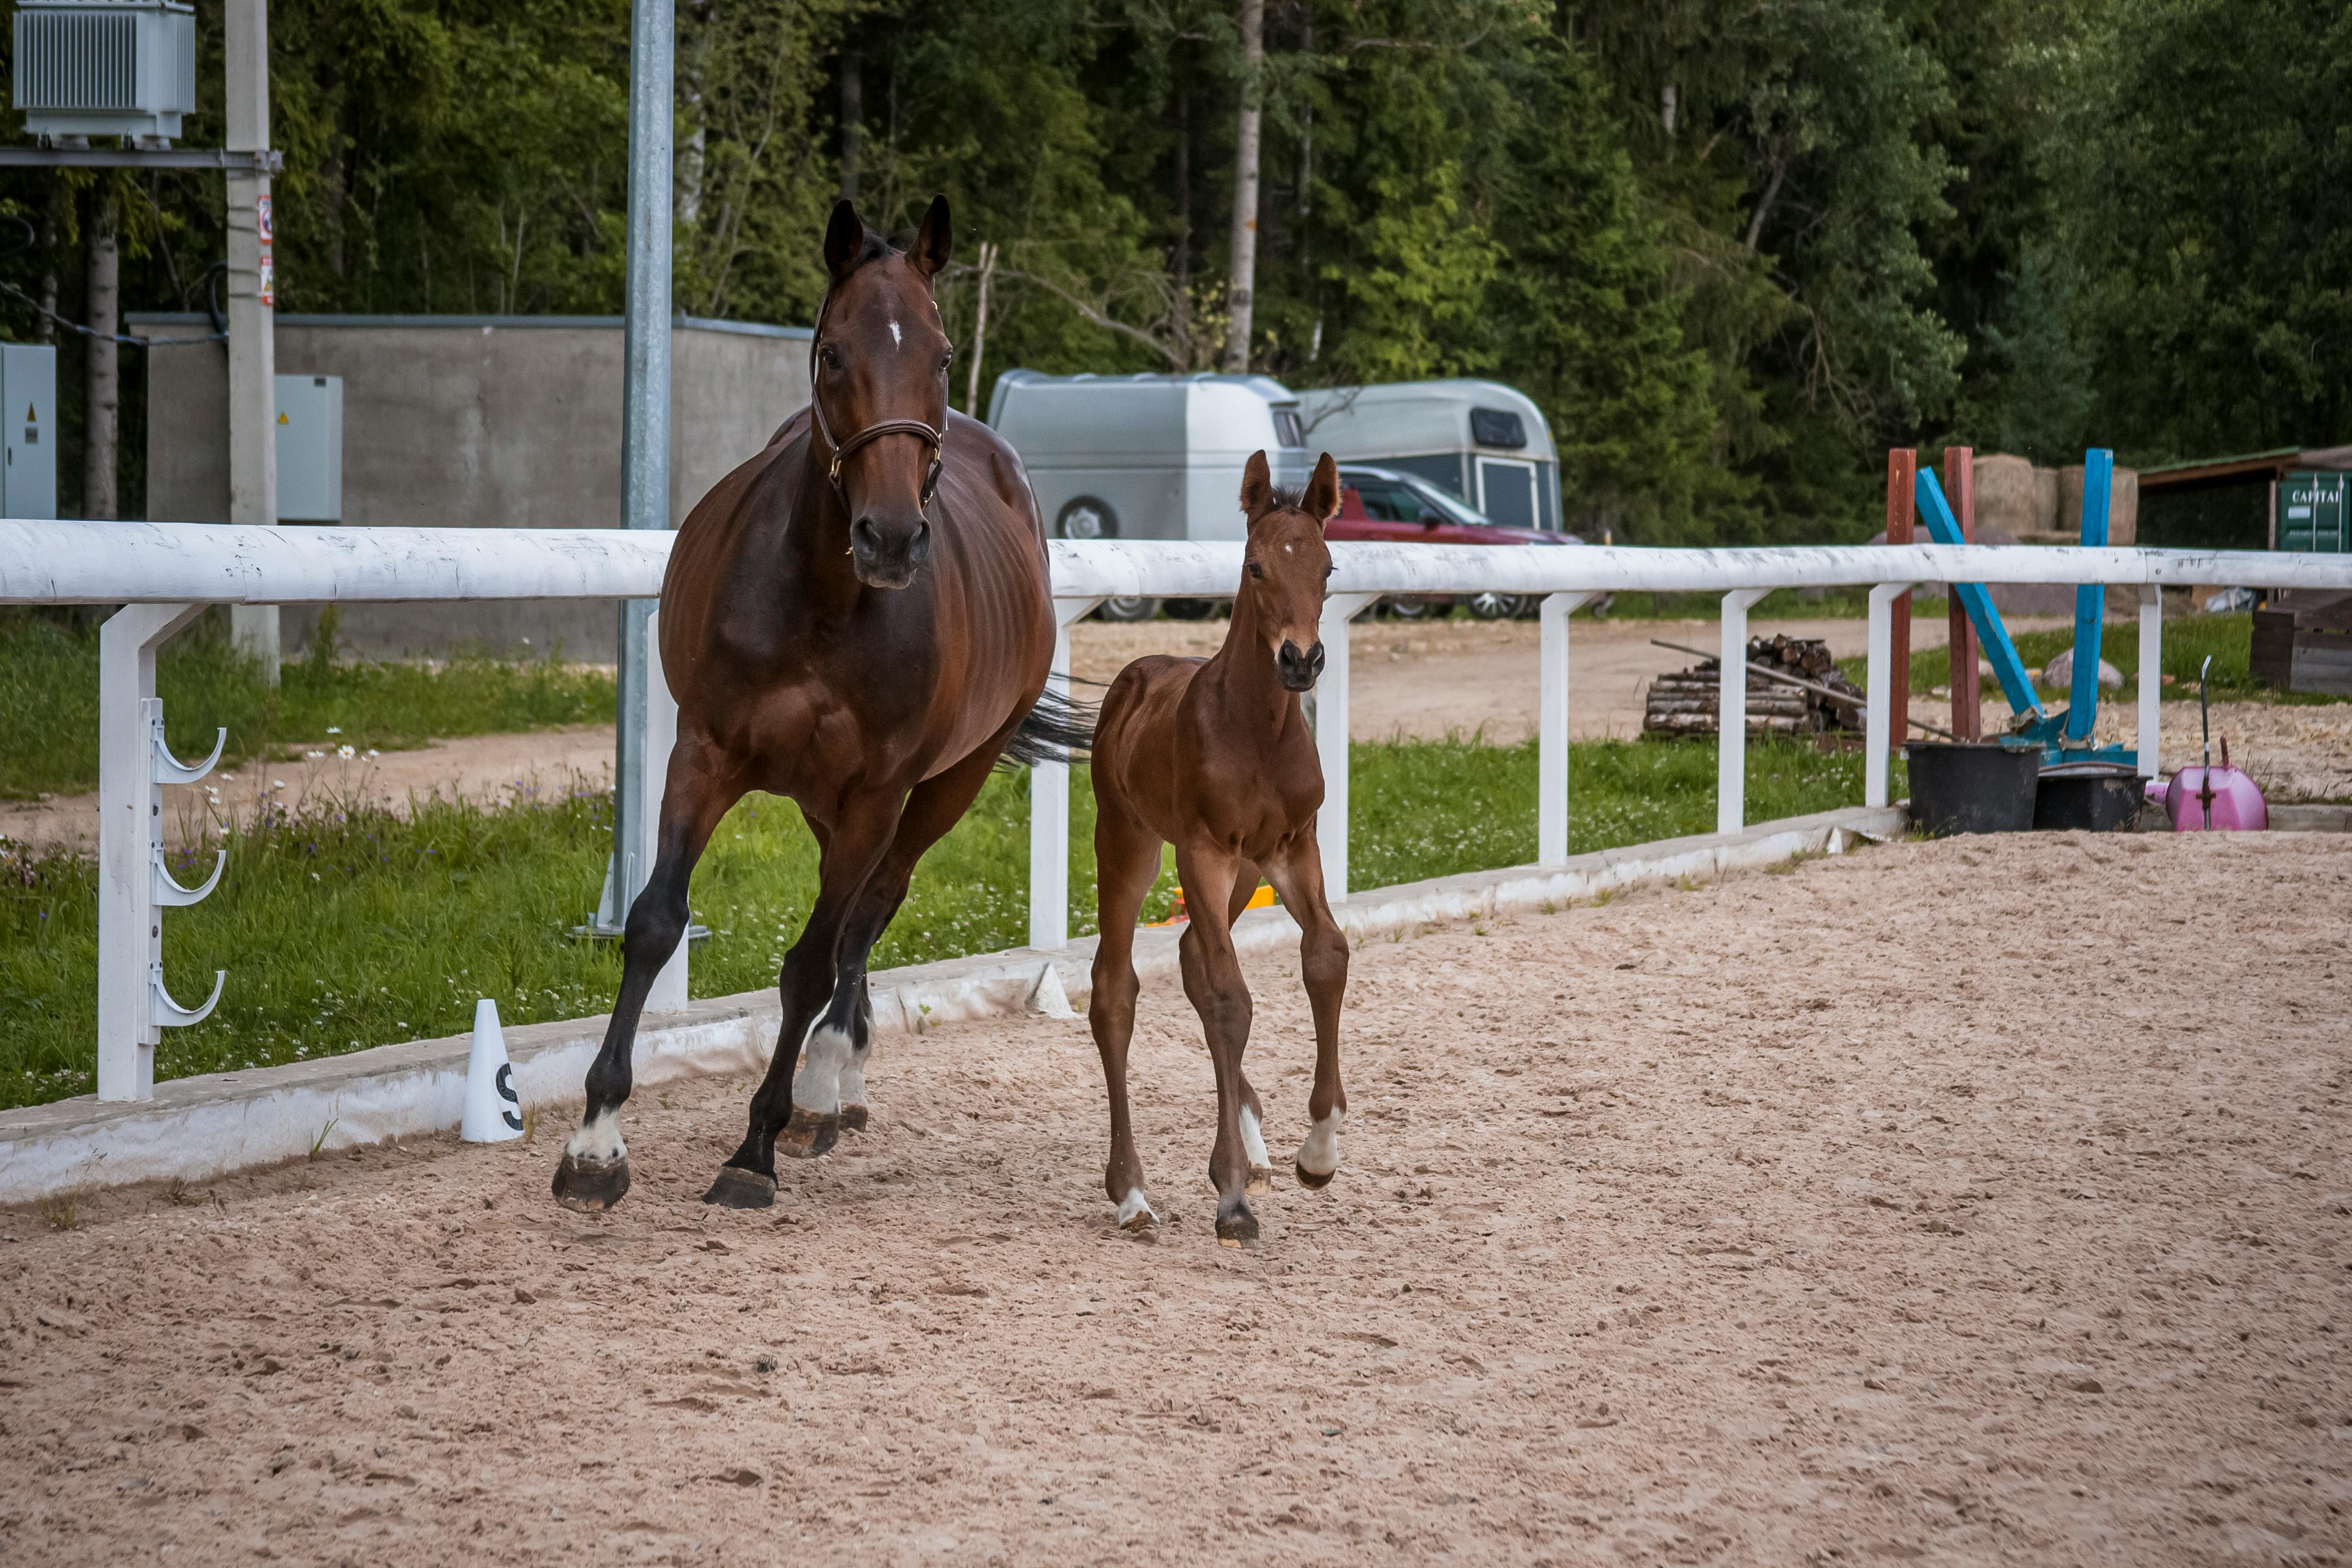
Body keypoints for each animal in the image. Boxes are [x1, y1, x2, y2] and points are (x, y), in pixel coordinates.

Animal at [550, 199, 1077, 1213]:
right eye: (833, 351)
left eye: (942, 356)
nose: (892, 538)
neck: (822, 603)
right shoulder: (705, 753)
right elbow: (654, 922)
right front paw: (595, 1143)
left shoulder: (878, 790)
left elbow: (810, 958)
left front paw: (755, 1143)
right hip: (820, 798)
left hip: (945, 782)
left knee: (871, 907)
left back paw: (828, 1080)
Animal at [1086, 454, 1354, 1250]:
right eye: (1255, 565)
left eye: (1328, 568)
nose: (1301, 661)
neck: (1258, 730)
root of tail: (1134, 676)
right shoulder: (1202, 852)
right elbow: (1233, 997)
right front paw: (1232, 1197)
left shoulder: (1293, 847)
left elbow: (1326, 956)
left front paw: (1317, 1153)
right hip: (1131, 842)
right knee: (1116, 990)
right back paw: (1131, 1192)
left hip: (1242, 873)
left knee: (1190, 960)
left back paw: (1254, 1144)